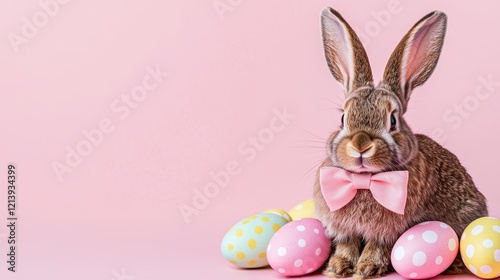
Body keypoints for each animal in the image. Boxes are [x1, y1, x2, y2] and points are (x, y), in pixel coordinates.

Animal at [312, 7, 488, 278]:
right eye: (342, 118)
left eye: (393, 120)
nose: (360, 145)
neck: (364, 181)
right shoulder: (344, 228)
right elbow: (346, 244)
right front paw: (338, 266)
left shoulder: (390, 229)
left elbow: (377, 246)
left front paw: (367, 268)